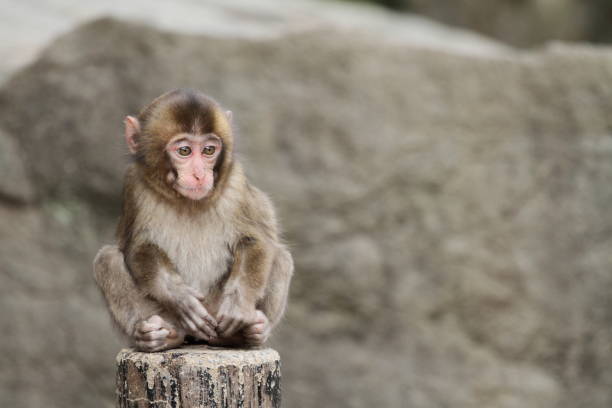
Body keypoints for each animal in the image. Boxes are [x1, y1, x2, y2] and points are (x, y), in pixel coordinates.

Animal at [94, 89, 294, 350]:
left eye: (209, 150)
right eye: (184, 151)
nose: (199, 174)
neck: (187, 201)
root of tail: (197, 338)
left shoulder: (235, 181)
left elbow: (256, 239)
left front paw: (238, 305)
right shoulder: (134, 184)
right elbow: (137, 247)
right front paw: (179, 296)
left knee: (281, 256)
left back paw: (245, 335)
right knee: (106, 259)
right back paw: (158, 335)